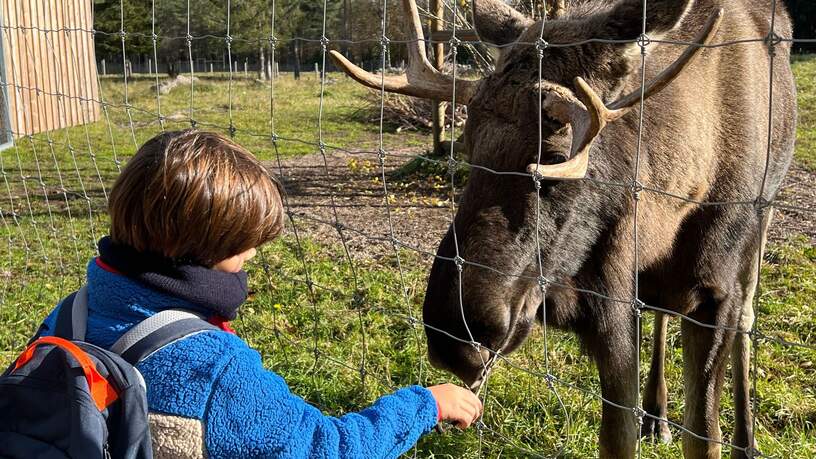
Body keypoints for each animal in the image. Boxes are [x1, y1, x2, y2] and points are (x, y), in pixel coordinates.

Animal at [328, 0, 792, 456]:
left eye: (553, 158)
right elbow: (618, 436)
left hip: (761, 226)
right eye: (469, 146)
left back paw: (744, 441)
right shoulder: (612, 293)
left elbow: (703, 434)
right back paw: (656, 416)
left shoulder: (714, 290)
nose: (453, 335)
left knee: (746, 318)